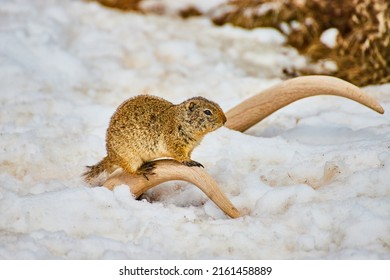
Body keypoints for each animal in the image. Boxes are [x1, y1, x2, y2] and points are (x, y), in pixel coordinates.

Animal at [84, 95, 227, 185]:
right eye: (207, 112)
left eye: (218, 105)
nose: (225, 120)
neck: (180, 120)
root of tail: (111, 155)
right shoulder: (175, 142)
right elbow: (179, 155)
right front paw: (189, 162)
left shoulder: (189, 148)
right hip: (130, 158)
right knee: (130, 170)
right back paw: (142, 169)